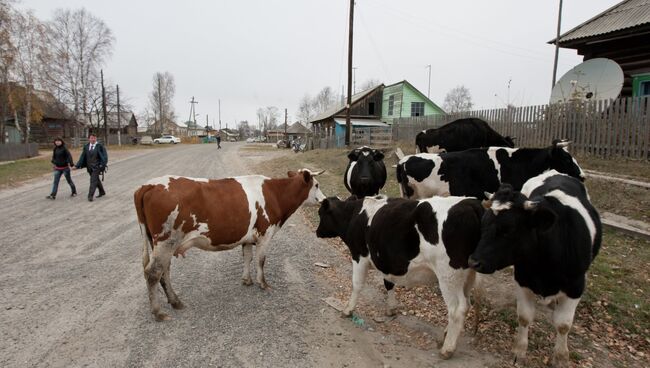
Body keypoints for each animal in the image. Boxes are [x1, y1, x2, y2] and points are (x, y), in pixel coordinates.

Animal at [133, 168, 324, 320]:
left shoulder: (248, 238)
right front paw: (263, 284)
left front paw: (247, 280)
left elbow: (247, 257)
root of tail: (148, 185)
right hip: (166, 241)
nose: (323, 200)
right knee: (153, 273)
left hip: (160, 244)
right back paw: (158, 312)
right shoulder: (265, 233)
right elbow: (260, 260)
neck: (275, 194)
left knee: (164, 271)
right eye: (316, 185)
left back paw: (175, 301)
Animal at [316, 196, 484, 360]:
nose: (317, 232)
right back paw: (445, 336)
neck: (354, 215)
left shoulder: (359, 255)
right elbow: (388, 283)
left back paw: (447, 349)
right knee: (466, 304)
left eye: (320, 214)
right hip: (467, 276)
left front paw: (348, 310)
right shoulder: (386, 261)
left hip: (448, 275)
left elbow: (357, 284)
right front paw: (391, 308)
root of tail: (470, 203)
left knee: (456, 309)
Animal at [464, 171, 600, 366]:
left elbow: (563, 325)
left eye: (508, 230)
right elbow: (524, 316)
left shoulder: (576, 286)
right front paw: (519, 352)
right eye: (483, 224)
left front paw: (561, 358)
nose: (474, 262)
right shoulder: (523, 279)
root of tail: (555, 172)